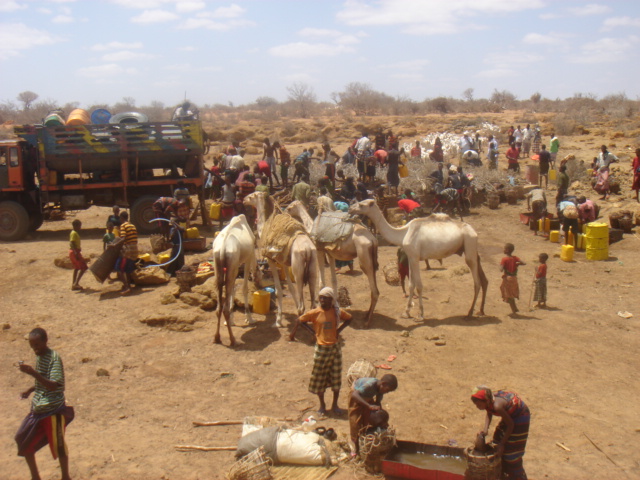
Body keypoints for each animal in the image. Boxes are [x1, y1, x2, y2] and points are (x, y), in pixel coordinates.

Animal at [212, 214, 258, 344]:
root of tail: (223, 248)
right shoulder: (248, 258)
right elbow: (244, 288)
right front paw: (249, 318)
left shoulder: (236, 265)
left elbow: (232, 289)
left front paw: (232, 320)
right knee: (224, 308)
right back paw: (233, 340)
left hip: (219, 266)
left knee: (219, 307)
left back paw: (217, 338)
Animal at [242, 191, 318, 326]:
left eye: (251, 196)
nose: (244, 200)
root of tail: (308, 250)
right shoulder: (283, 263)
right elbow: (290, 288)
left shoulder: (271, 260)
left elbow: (278, 290)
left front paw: (278, 320)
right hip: (313, 264)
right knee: (313, 302)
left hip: (298, 270)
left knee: (302, 305)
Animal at [348, 199, 488, 318]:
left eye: (361, 204)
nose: (350, 209)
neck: (403, 233)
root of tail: (474, 231)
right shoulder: (411, 257)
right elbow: (411, 284)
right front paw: (406, 312)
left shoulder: (415, 257)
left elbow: (419, 285)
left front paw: (420, 313)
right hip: (470, 248)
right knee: (483, 277)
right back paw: (481, 311)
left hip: (469, 243)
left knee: (476, 281)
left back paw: (470, 313)